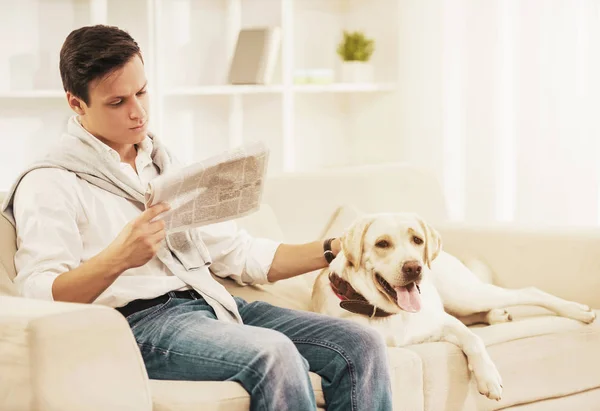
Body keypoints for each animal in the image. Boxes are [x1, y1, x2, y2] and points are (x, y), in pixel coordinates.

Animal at [310, 214, 596, 400]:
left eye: (417, 240)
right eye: (382, 243)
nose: (414, 267)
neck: (388, 313)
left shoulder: (443, 322)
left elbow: (474, 340)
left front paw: (489, 378)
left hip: (465, 295)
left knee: (527, 291)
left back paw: (578, 311)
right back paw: (498, 315)